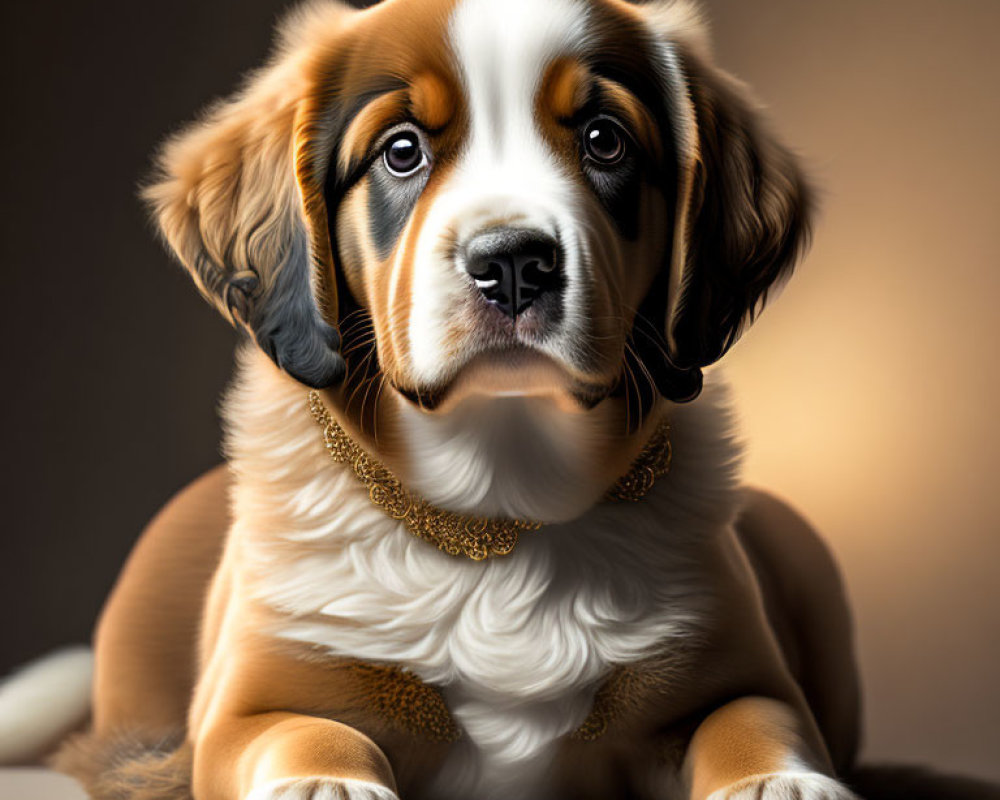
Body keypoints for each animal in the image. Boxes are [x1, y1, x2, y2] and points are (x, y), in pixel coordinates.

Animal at [23, 0, 864, 796]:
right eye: (402, 152)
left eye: (605, 141)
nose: (515, 263)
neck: (497, 516)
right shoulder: (247, 707)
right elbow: (300, 733)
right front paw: (322, 783)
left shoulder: (733, 671)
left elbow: (753, 722)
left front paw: (779, 782)